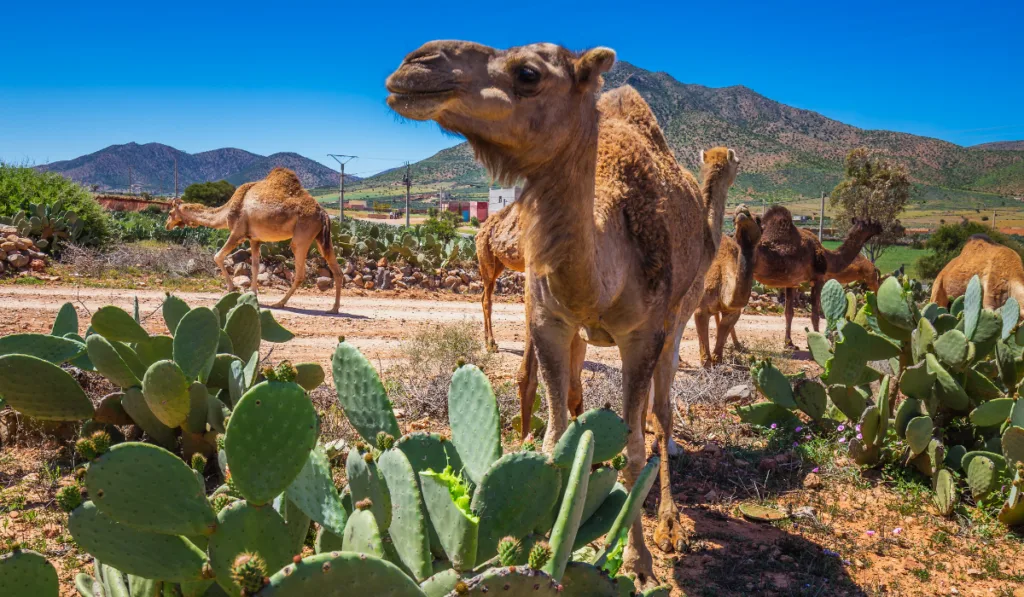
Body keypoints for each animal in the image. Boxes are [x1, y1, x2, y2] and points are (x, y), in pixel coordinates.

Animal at [163, 166, 344, 313]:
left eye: (170, 213)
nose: (167, 225)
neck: (228, 210)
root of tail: (323, 212)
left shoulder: (238, 232)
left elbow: (218, 256)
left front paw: (232, 288)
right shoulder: (254, 239)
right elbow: (256, 266)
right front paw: (253, 294)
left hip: (302, 235)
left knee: (300, 272)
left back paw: (280, 303)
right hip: (321, 238)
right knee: (336, 269)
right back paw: (334, 308)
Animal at [385, 38, 729, 577]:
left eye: (529, 73)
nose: (415, 64)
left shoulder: (645, 333)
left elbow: (634, 449)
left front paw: (637, 559)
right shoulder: (550, 321)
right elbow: (555, 439)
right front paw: (546, 545)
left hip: (679, 312)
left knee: (661, 410)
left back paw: (670, 522)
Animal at [753, 204, 880, 348]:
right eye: (871, 222)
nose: (880, 227)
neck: (828, 258)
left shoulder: (791, 282)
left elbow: (789, 312)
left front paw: (789, 343)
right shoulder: (818, 279)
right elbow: (815, 313)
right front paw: (818, 341)